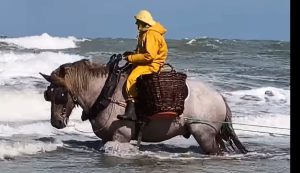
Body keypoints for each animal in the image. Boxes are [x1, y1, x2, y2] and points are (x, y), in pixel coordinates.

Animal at [39, 57, 246, 154]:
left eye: (61, 94)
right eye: (48, 95)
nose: (56, 122)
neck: (106, 91)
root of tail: (219, 95)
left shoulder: (121, 137)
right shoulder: (108, 139)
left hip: (204, 135)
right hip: (212, 136)